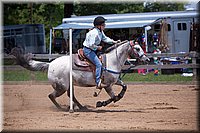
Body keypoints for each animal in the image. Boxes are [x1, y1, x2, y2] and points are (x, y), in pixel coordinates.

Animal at [11, 40, 149, 111]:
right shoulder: (107, 84)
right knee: (52, 95)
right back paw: (62, 109)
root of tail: (50, 64)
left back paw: (81, 107)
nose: (147, 59)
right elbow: (113, 97)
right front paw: (100, 103)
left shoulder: (115, 81)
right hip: (61, 86)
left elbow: (124, 88)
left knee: (70, 95)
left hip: (68, 85)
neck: (112, 61)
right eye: (137, 48)